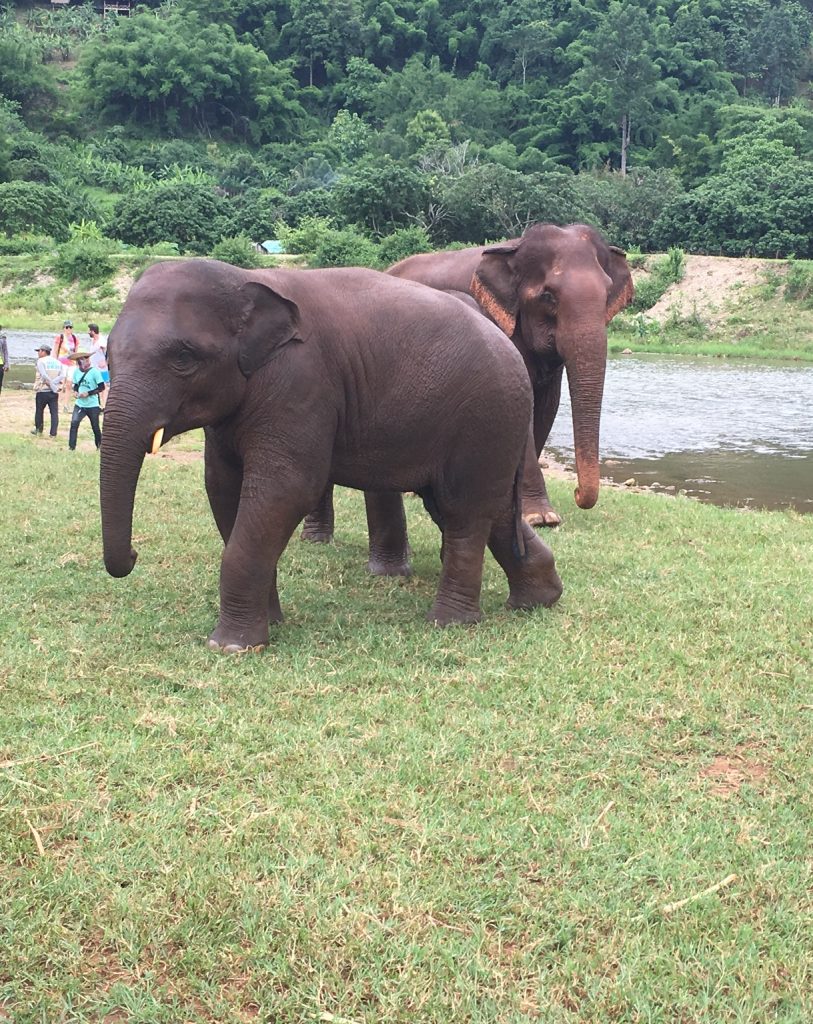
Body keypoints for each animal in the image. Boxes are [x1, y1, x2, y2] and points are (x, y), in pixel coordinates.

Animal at [98, 260, 561, 651]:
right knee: (481, 508)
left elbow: (285, 490)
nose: (134, 556)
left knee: (463, 511)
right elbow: (222, 489)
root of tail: (510, 351)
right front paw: (269, 625)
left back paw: (449, 624)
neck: (245, 277)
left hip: (485, 417)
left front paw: (231, 647)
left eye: (183, 357)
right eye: (107, 353)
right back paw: (539, 599)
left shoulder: (301, 381)